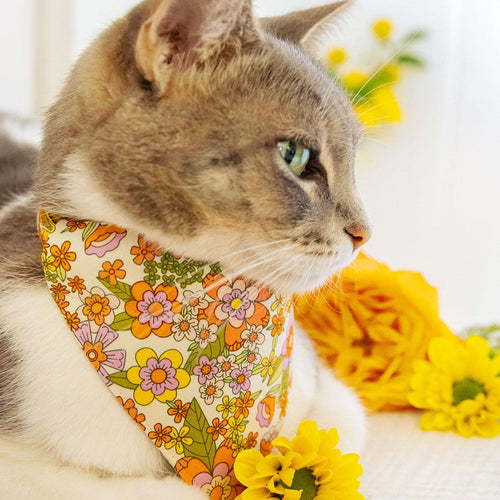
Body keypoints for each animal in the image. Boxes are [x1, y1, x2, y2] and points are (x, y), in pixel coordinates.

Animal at [0, 1, 372, 498]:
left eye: (354, 163)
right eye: (294, 155)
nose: (365, 232)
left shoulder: (327, 392)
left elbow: (338, 430)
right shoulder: (23, 467)